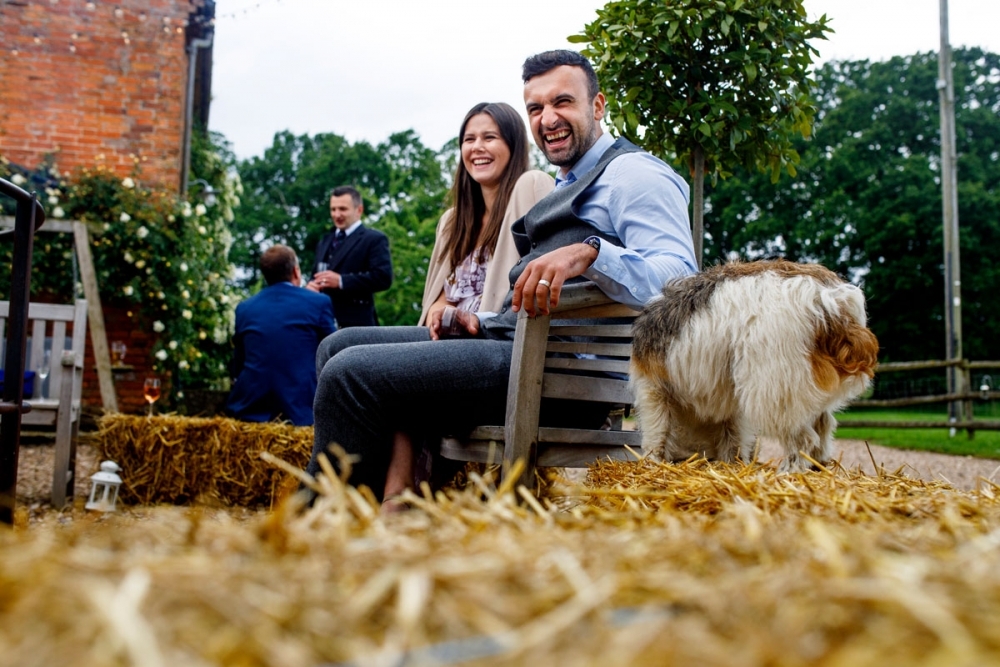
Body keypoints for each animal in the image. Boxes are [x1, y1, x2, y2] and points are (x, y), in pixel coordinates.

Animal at [632, 260, 876, 474]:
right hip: (800, 385)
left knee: (804, 438)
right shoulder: (726, 399)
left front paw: (653, 462)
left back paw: (789, 471)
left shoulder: (653, 389)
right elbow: (733, 436)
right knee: (823, 426)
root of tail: (828, 296)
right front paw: (733, 464)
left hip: (776, 388)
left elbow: (657, 433)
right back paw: (817, 466)